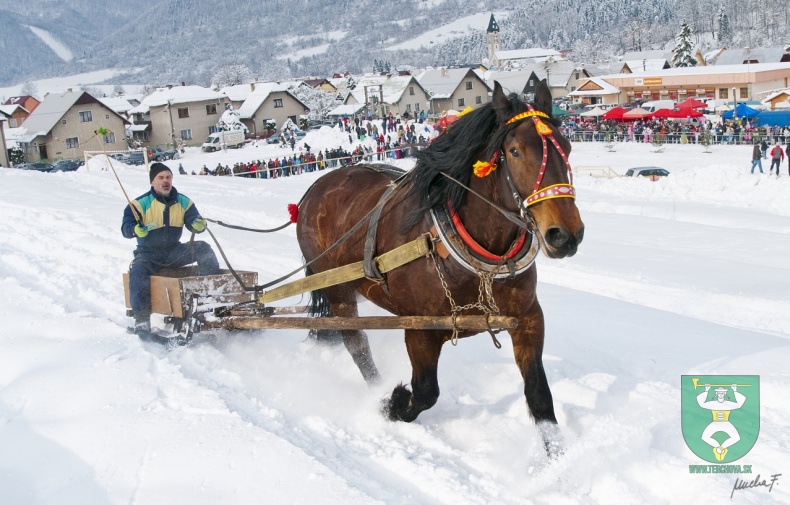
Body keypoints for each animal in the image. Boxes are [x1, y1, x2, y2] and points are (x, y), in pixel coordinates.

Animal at [294, 79, 584, 452]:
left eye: (567, 146)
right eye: (515, 151)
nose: (565, 235)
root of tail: (314, 188)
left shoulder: (529, 318)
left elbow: (539, 396)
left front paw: (558, 459)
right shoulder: (420, 329)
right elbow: (425, 393)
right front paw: (393, 401)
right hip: (336, 287)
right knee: (356, 343)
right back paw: (376, 388)